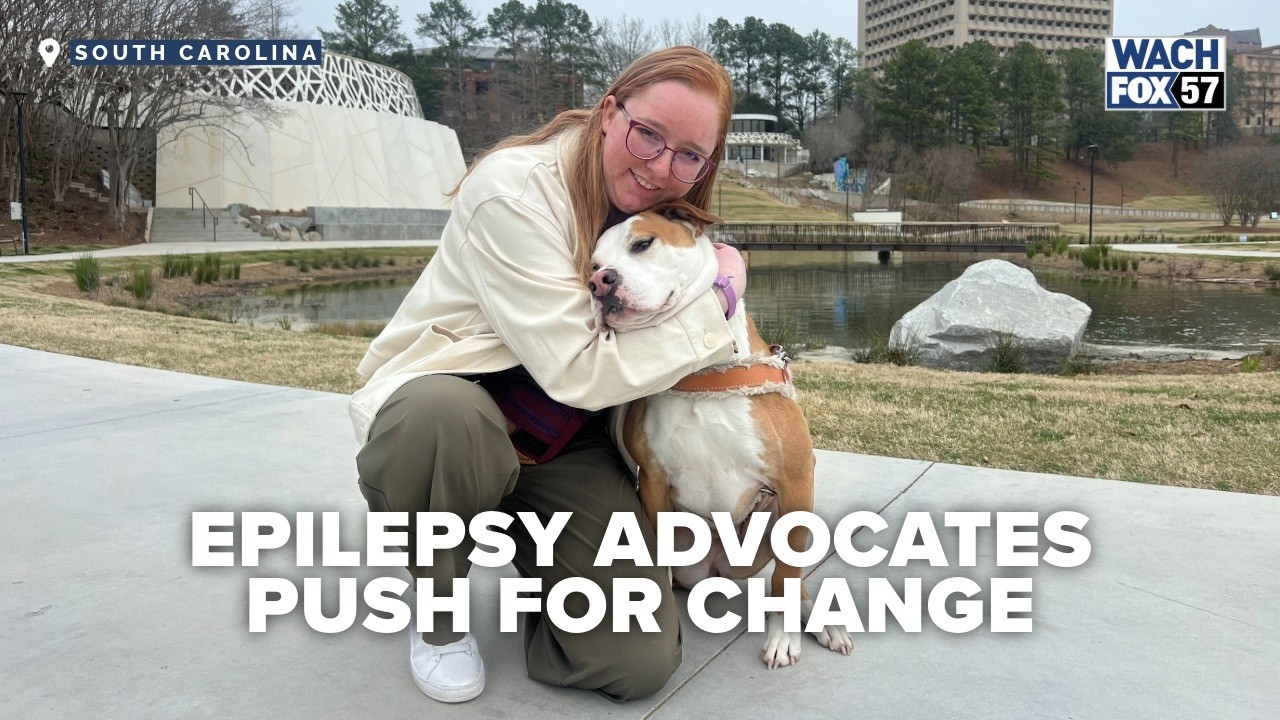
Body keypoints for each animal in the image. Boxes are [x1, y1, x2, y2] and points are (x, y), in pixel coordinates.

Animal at [588, 202, 854, 669]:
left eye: (642, 243)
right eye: (592, 265)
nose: (600, 283)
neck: (702, 375)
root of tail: (716, 571)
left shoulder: (796, 478)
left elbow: (787, 576)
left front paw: (783, 637)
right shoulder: (653, 482)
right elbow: (659, 556)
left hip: (772, 520)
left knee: (788, 576)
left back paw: (823, 621)